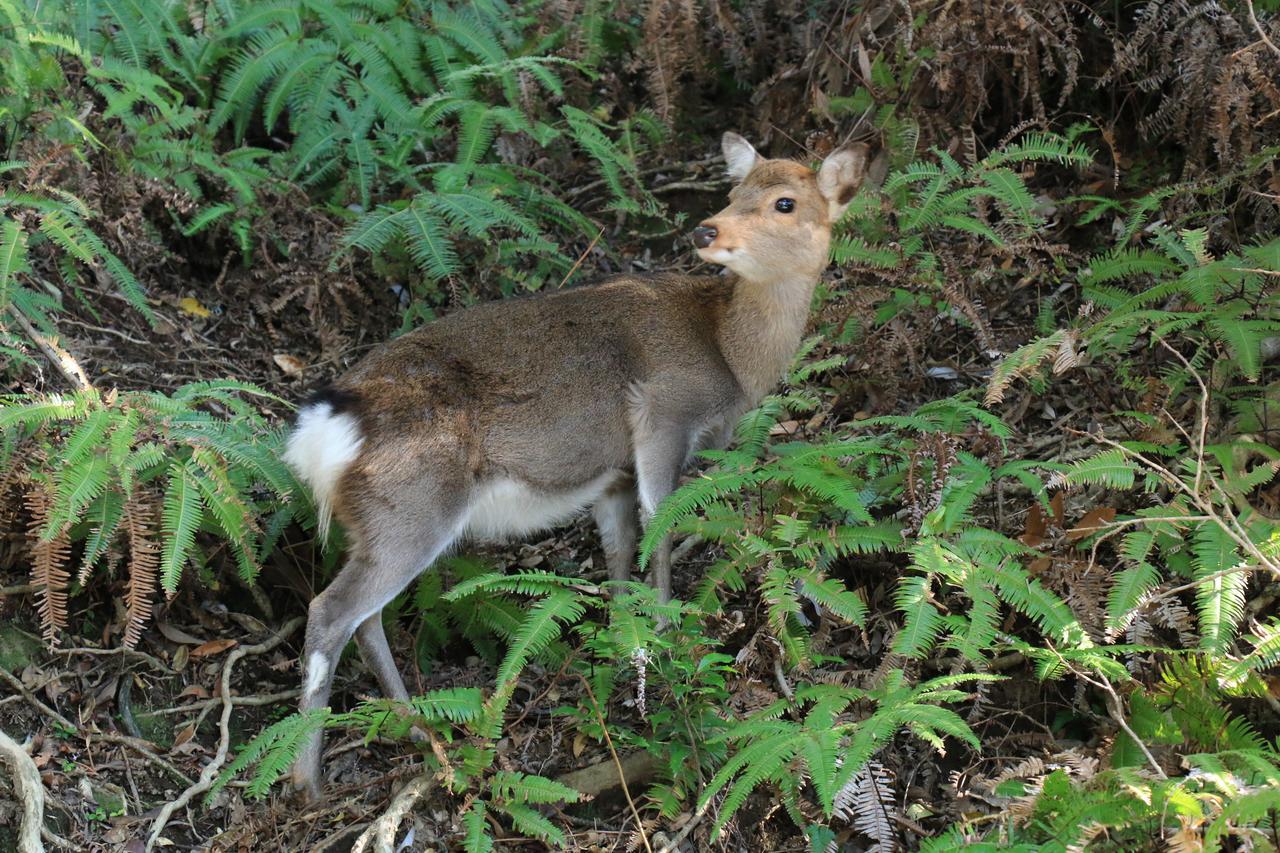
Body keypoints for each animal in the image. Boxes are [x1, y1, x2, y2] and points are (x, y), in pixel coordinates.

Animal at [284, 131, 875, 788]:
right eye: (734, 191)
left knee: (366, 619)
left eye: (783, 202)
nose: (707, 229)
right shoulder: (661, 415)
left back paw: (417, 729)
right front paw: (667, 638)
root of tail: (323, 430)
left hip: (375, 522)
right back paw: (307, 778)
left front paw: (625, 648)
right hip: (411, 506)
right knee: (331, 611)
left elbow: (619, 553)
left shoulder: (612, 474)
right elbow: (661, 528)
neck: (730, 358)